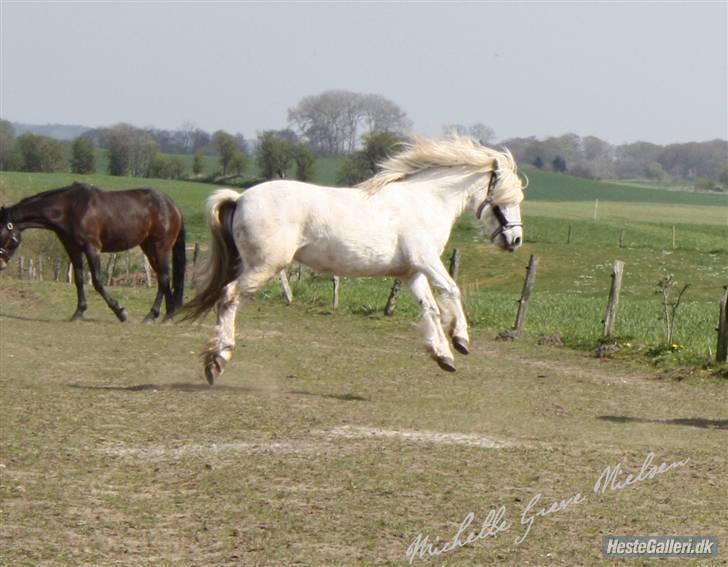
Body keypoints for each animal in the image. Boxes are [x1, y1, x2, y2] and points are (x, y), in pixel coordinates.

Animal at [0, 182, 186, 322]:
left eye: (2, 234)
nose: (1, 264)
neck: (70, 208)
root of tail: (172, 206)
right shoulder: (73, 249)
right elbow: (79, 279)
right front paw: (79, 312)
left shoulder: (92, 248)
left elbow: (97, 281)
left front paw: (120, 312)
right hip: (149, 248)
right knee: (163, 278)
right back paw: (167, 314)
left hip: (161, 247)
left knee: (163, 277)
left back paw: (153, 315)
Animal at [183, 136, 525, 384]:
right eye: (506, 199)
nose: (515, 240)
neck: (427, 201)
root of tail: (240, 197)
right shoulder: (426, 260)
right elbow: (452, 291)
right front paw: (461, 339)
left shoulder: (411, 272)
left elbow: (429, 308)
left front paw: (443, 356)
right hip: (264, 266)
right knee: (228, 296)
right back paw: (218, 360)